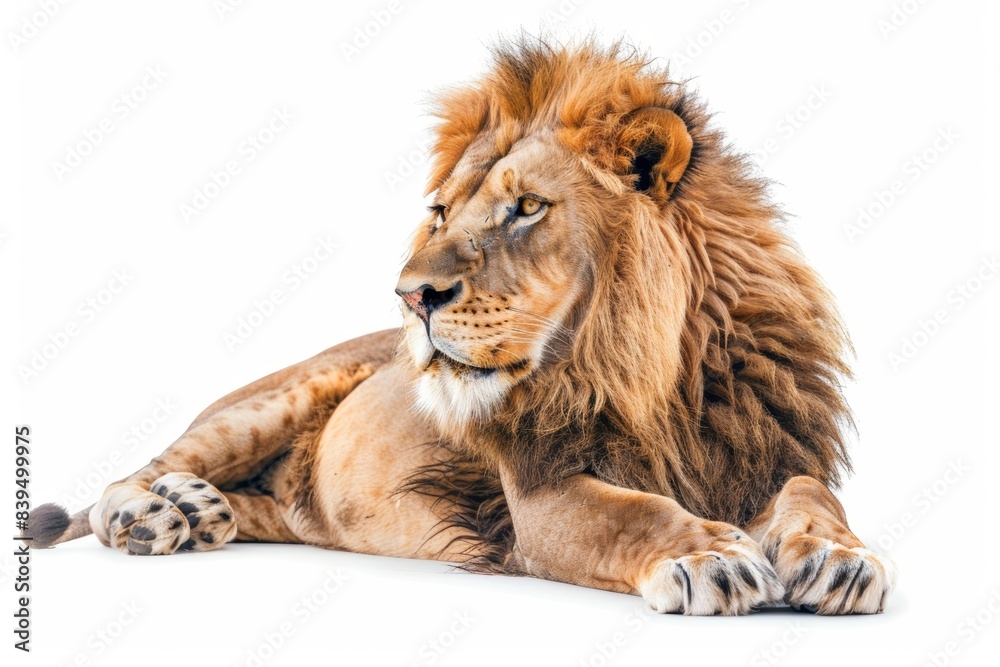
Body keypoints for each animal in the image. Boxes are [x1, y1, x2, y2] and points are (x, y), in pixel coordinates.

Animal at [27, 37, 896, 615]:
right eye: (442, 213)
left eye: (526, 207)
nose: (411, 295)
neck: (658, 380)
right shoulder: (542, 496)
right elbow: (632, 512)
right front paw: (710, 553)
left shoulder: (767, 454)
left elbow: (813, 491)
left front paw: (840, 557)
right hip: (265, 401)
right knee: (127, 476)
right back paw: (153, 513)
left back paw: (204, 512)